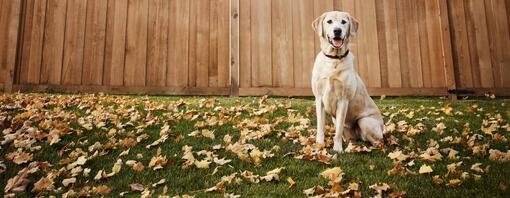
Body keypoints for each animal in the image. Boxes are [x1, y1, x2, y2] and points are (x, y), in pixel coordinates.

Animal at [308, 11, 384, 153]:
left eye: (343, 22)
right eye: (329, 21)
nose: (337, 30)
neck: (333, 59)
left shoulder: (343, 100)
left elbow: (338, 130)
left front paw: (337, 149)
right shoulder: (319, 99)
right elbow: (320, 126)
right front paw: (319, 145)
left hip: (365, 122)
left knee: (379, 141)